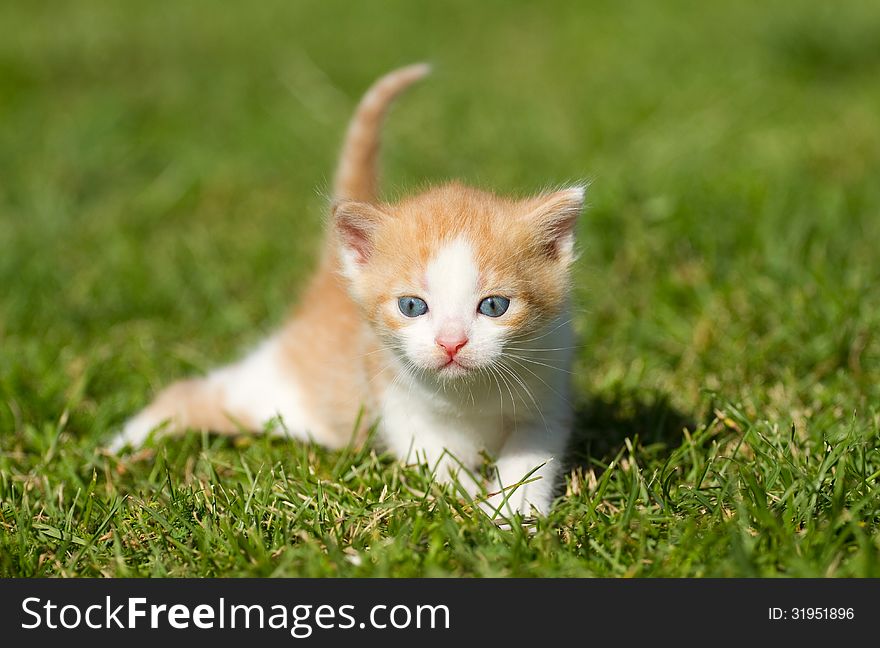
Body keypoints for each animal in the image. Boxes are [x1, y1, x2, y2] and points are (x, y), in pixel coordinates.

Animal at [111, 64, 584, 516]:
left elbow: (533, 457)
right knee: (196, 393)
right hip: (282, 396)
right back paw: (126, 441)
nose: (451, 344)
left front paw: (512, 510)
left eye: (495, 305)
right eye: (412, 306)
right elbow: (431, 452)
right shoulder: (390, 392)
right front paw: (464, 500)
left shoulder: (549, 392)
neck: (466, 396)